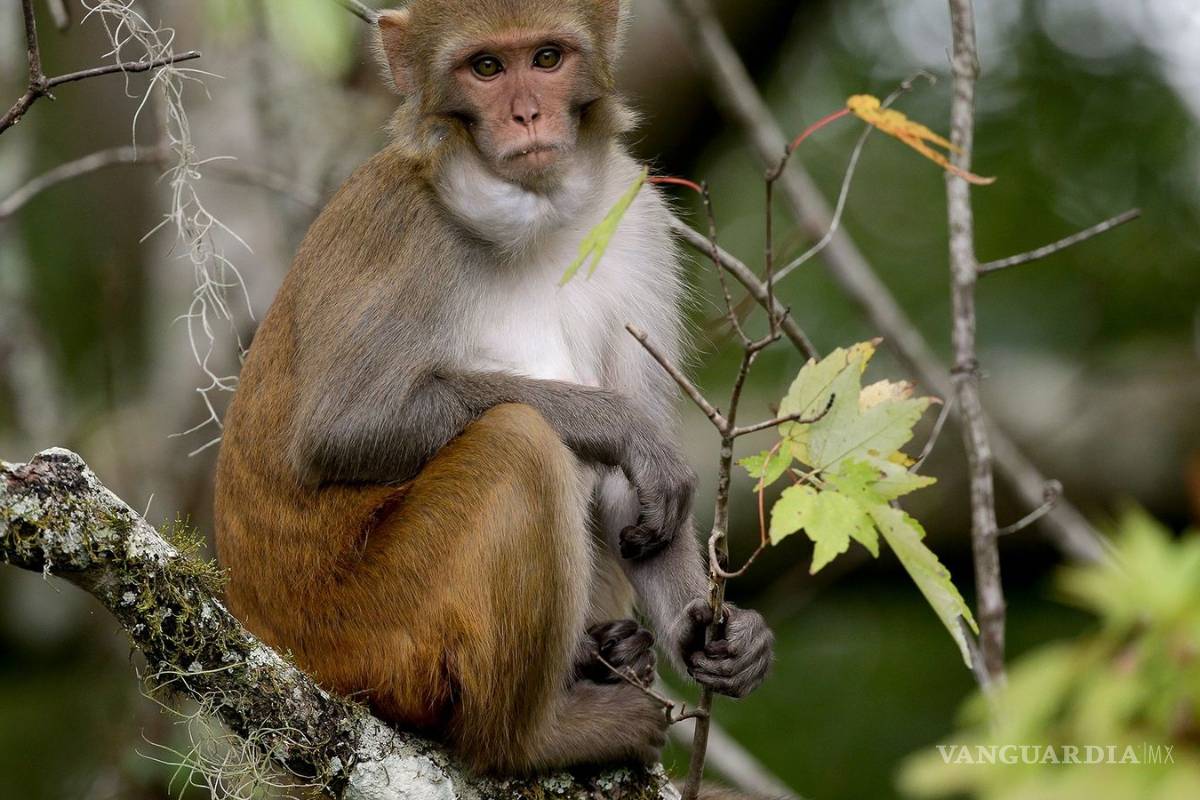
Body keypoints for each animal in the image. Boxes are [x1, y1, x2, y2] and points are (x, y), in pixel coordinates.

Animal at [214, 0, 774, 776]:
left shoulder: (635, 225)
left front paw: (716, 635)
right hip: (370, 630)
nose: (526, 114)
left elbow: (636, 504)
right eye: (485, 67)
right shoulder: (403, 227)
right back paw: (538, 739)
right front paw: (622, 425)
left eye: (547, 58)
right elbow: (343, 430)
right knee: (519, 444)